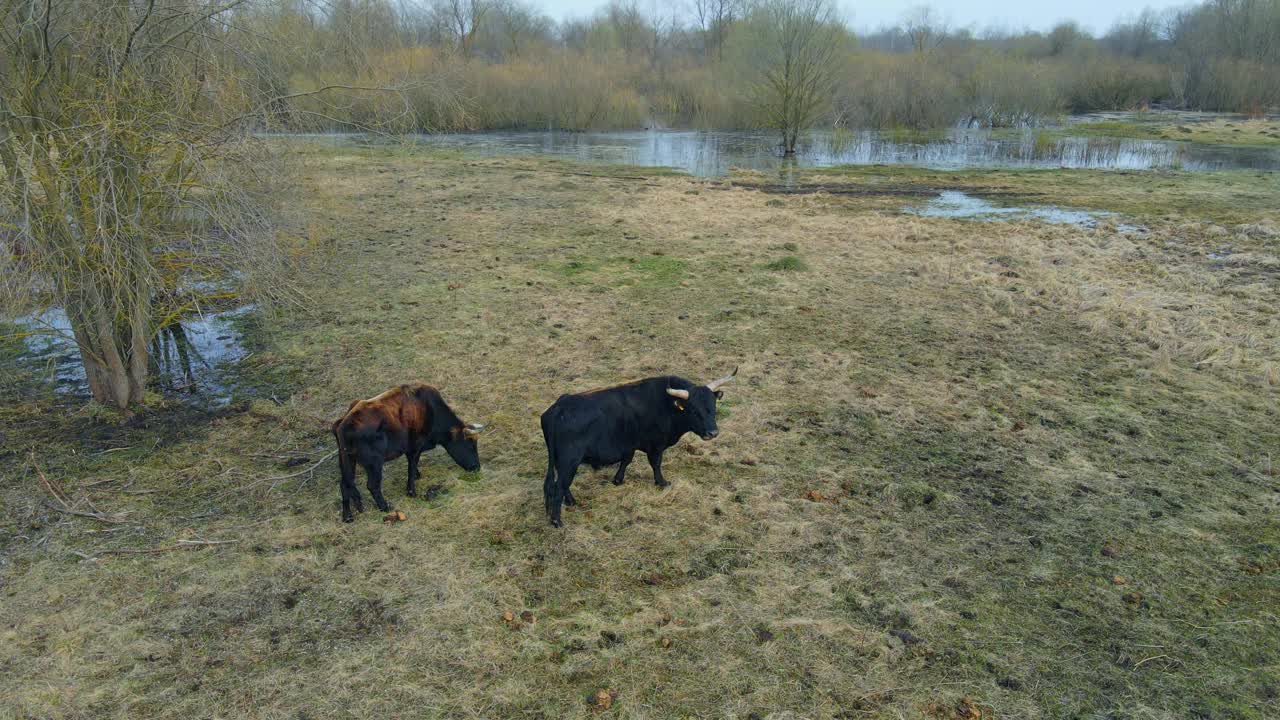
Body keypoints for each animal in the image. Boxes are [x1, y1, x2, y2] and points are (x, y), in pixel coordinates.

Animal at [332, 384, 481, 517]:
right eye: (470, 444)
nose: (477, 467)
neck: (430, 410)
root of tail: (343, 423)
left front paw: (417, 475)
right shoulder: (414, 448)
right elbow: (411, 467)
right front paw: (411, 492)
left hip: (347, 461)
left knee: (345, 484)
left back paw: (348, 516)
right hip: (374, 464)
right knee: (372, 485)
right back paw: (384, 507)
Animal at [540, 366, 742, 525]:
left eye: (713, 406)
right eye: (693, 409)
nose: (712, 433)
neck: (666, 406)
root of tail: (558, 408)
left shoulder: (629, 444)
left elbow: (626, 460)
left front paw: (618, 480)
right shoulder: (656, 446)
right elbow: (655, 464)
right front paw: (662, 483)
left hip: (562, 461)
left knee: (561, 484)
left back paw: (571, 502)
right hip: (569, 461)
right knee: (559, 487)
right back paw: (557, 521)